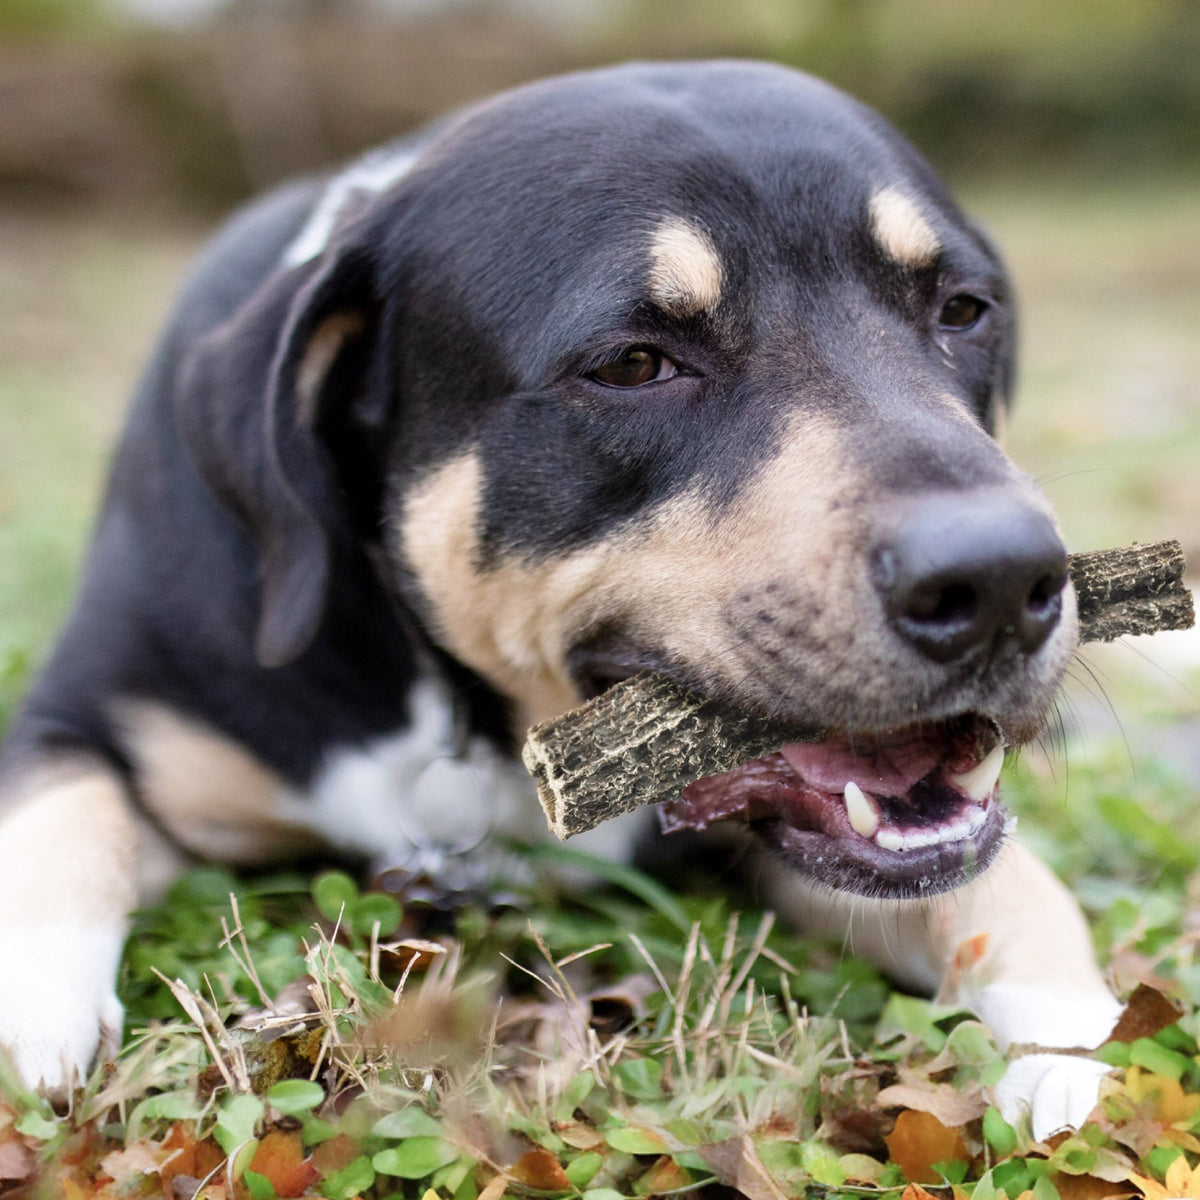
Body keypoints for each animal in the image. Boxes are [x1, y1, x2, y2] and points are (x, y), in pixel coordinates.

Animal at [0, 63, 1123, 1132]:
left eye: (963, 311)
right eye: (632, 363)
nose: (999, 580)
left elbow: (1012, 881)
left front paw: (1069, 1041)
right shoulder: (86, 710)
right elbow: (61, 813)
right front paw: (38, 1012)